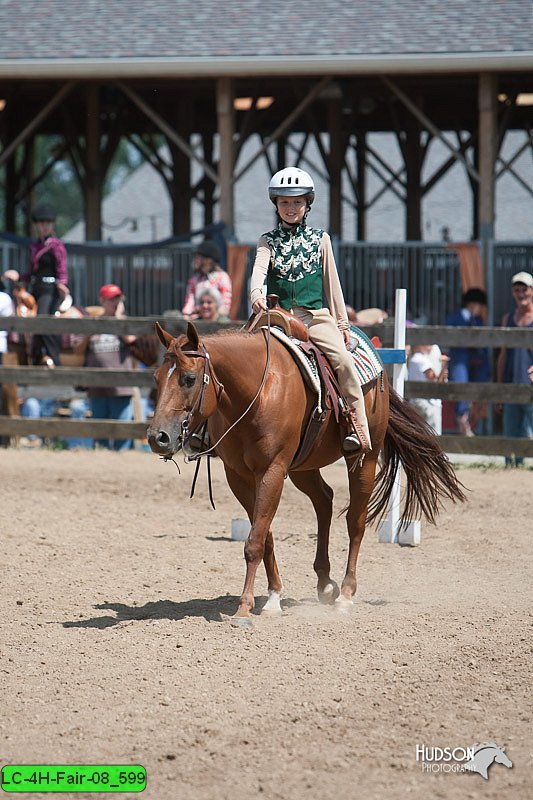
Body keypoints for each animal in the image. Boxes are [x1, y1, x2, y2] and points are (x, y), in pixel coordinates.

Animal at [148, 320, 464, 624]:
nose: (157, 437)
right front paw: (274, 597)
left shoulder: (273, 470)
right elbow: (264, 535)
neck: (258, 392)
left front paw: (244, 607)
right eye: (156, 378)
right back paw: (325, 583)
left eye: (189, 379)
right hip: (304, 467)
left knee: (356, 521)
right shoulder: (237, 475)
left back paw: (345, 594)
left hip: (366, 459)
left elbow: (254, 542)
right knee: (324, 500)